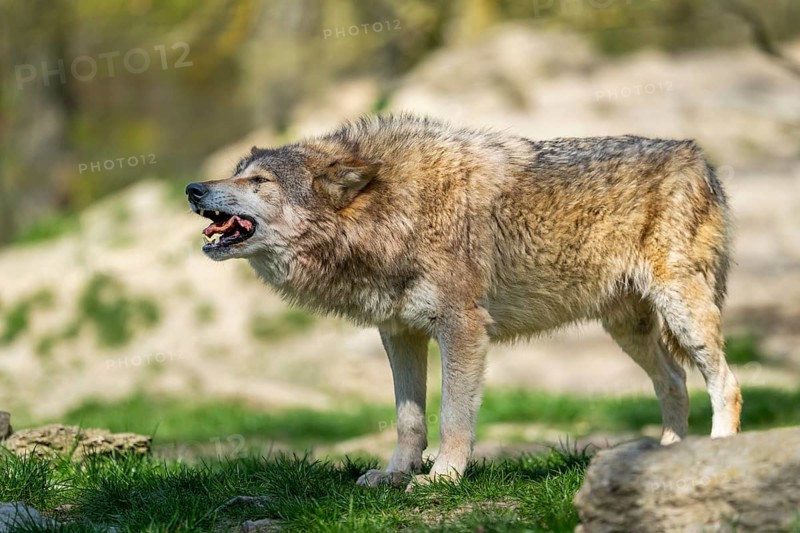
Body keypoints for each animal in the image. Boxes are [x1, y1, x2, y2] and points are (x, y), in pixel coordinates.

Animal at [186, 114, 741, 487]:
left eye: (259, 181)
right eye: (236, 172)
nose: (193, 188)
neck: (393, 213)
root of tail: (700, 157)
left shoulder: (463, 328)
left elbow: (453, 414)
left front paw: (443, 477)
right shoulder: (400, 334)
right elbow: (409, 419)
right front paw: (394, 475)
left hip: (683, 313)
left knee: (726, 383)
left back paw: (718, 450)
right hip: (629, 329)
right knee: (674, 383)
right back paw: (664, 458)